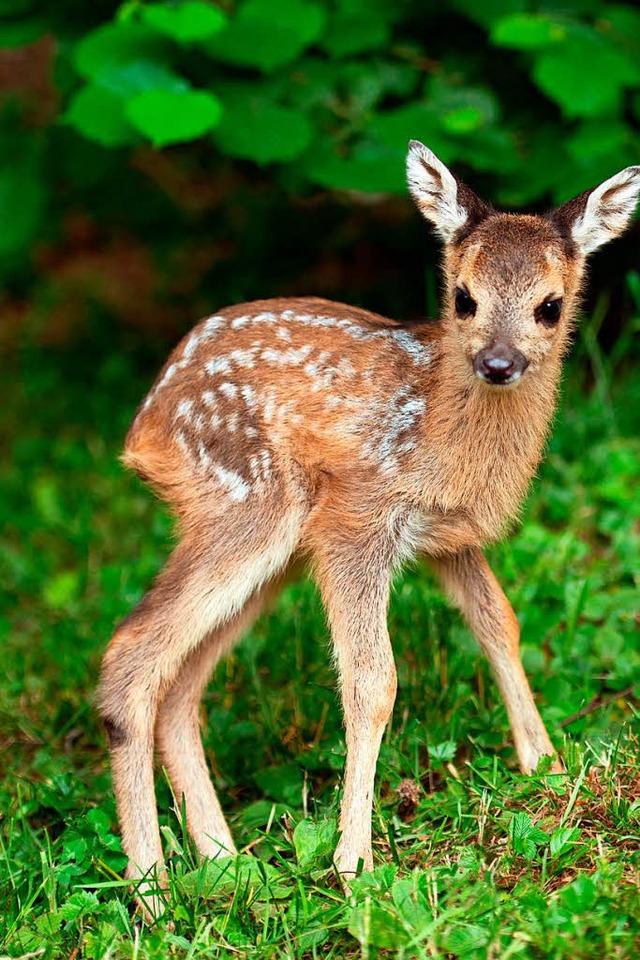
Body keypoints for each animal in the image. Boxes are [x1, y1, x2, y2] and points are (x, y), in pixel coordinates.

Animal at [100, 141, 640, 916]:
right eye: (463, 297)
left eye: (550, 305)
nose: (498, 363)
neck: (441, 432)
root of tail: (145, 425)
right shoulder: (358, 521)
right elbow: (372, 681)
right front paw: (353, 862)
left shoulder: (448, 538)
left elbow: (500, 624)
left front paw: (545, 766)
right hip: (250, 505)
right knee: (132, 654)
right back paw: (153, 891)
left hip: (271, 555)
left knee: (179, 687)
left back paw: (227, 864)